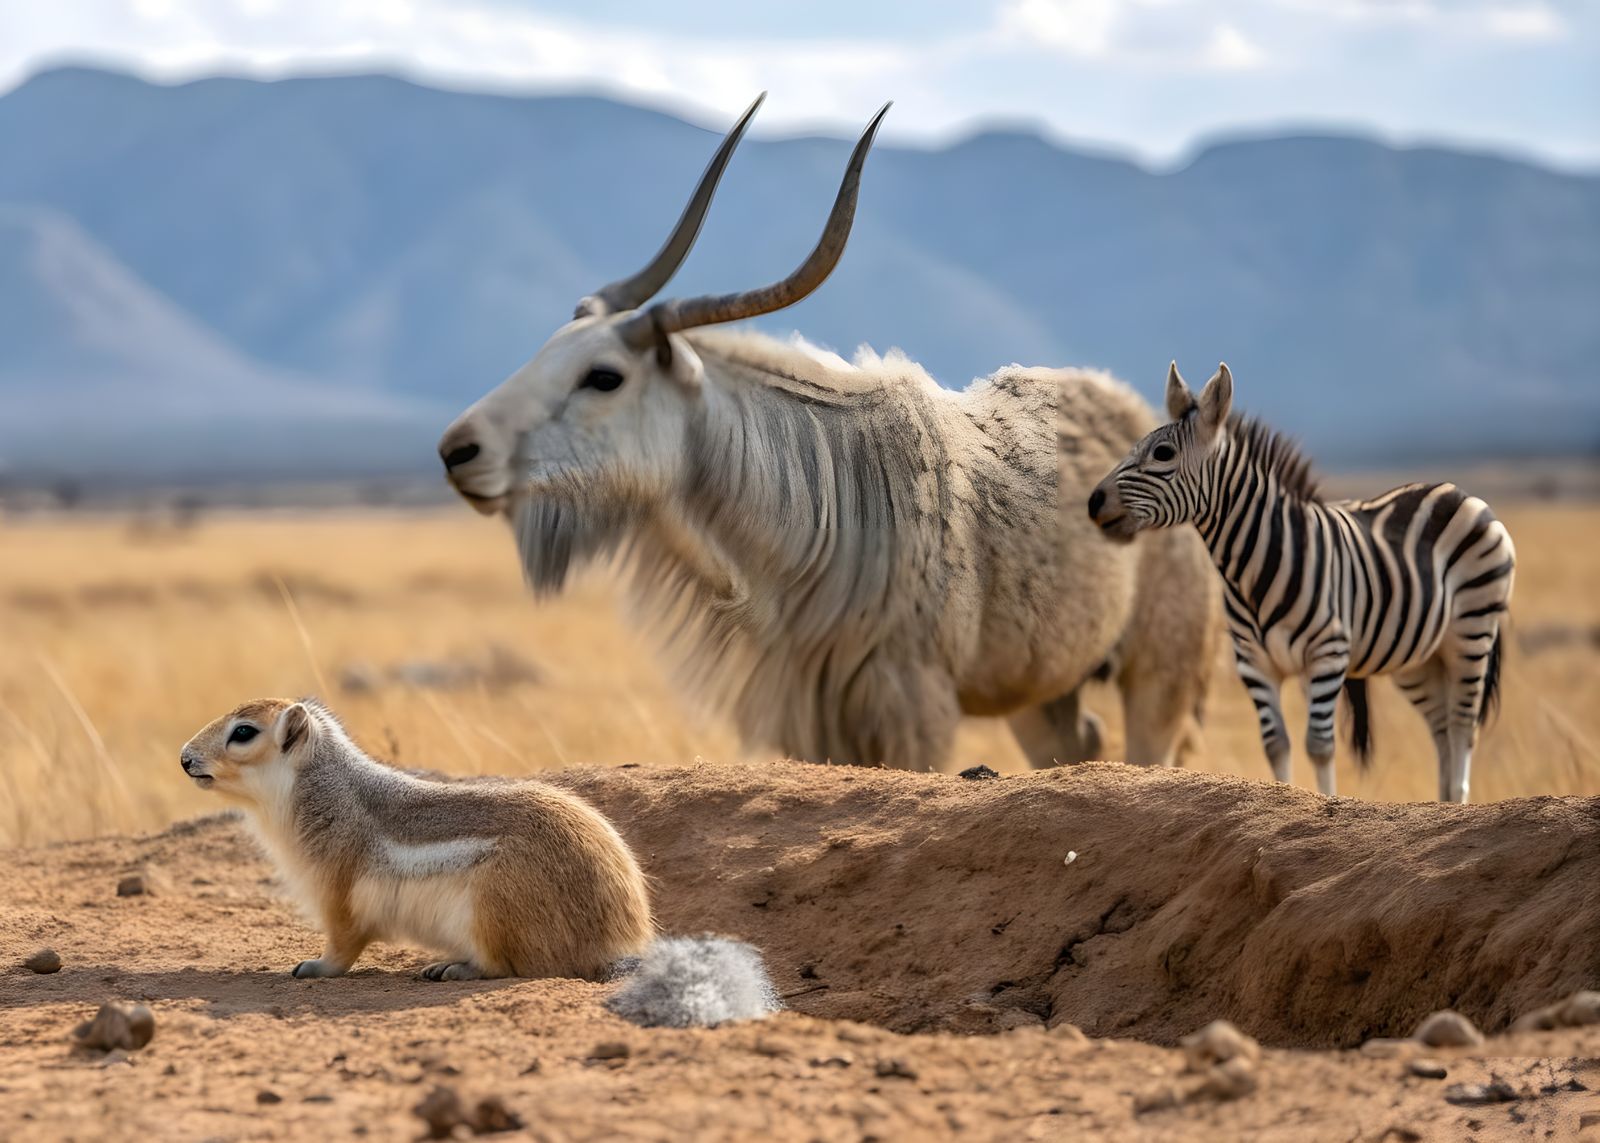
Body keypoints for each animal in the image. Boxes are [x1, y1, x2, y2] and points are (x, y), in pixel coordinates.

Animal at [179, 697, 781, 1024]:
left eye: (243, 732)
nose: (184, 758)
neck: (321, 790)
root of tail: (617, 946)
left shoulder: (339, 895)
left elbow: (342, 947)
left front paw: (313, 968)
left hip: (493, 906)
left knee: (513, 968)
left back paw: (453, 967)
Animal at [1088, 362, 1515, 802]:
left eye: (1162, 453)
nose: (1094, 501)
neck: (1251, 573)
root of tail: (1456, 491)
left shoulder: (1328, 654)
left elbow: (1319, 745)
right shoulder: (1254, 663)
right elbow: (1276, 744)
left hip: (1472, 629)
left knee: (1463, 724)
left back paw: (1459, 798)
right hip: (1417, 655)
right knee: (1442, 727)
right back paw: (1444, 803)